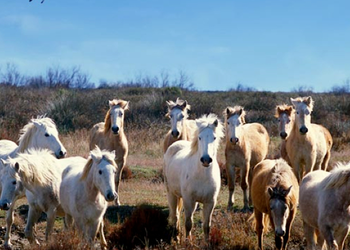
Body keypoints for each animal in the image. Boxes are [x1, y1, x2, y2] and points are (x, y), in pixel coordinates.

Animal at [0, 116, 67, 248]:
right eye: (46, 134)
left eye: (57, 134)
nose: (62, 152)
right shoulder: (11, 198)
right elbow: (9, 219)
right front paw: (7, 242)